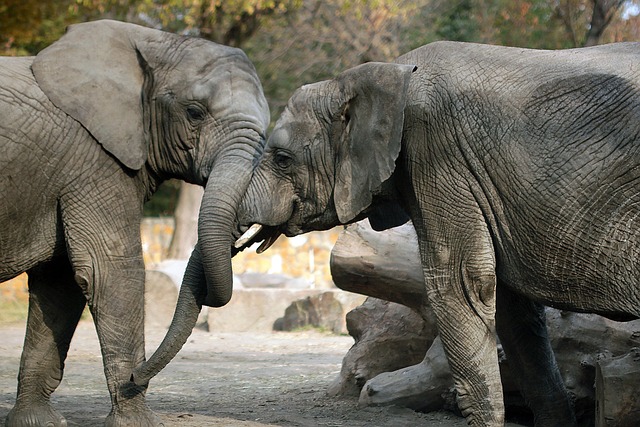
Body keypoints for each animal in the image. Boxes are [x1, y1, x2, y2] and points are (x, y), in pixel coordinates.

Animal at [0, 19, 270, 427]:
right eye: (194, 113)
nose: (133, 378)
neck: (150, 41)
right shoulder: (95, 161)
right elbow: (111, 272)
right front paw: (138, 421)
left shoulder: (69, 174)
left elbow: (61, 281)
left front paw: (37, 422)